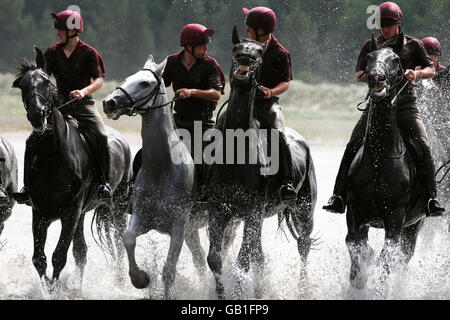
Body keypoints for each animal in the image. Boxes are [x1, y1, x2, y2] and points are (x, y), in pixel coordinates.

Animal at [11, 47, 133, 290]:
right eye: (23, 85)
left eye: (46, 82)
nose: (37, 116)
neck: (53, 156)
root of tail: (122, 141)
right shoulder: (40, 212)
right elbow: (40, 258)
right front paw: (49, 288)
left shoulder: (70, 212)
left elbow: (59, 255)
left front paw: (56, 288)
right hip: (83, 214)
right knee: (81, 251)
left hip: (117, 206)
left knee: (119, 241)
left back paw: (120, 280)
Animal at [206, 28, 318, 300]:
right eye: (236, 51)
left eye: (258, 54)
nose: (244, 65)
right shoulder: (219, 211)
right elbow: (216, 259)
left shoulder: (252, 212)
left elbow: (242, 262)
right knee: (260, 255)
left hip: (304, 211)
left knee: (303, 246)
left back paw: (302, 289)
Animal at [344, 42, 428, 288]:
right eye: (369, 57)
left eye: (395, 60)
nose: (376, 78)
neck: (379, 158)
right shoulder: (354, 211)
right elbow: (356, 246)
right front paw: (358, 281)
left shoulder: (395, 218)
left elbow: (387, 258)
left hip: (414, 225)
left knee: (404, 255)